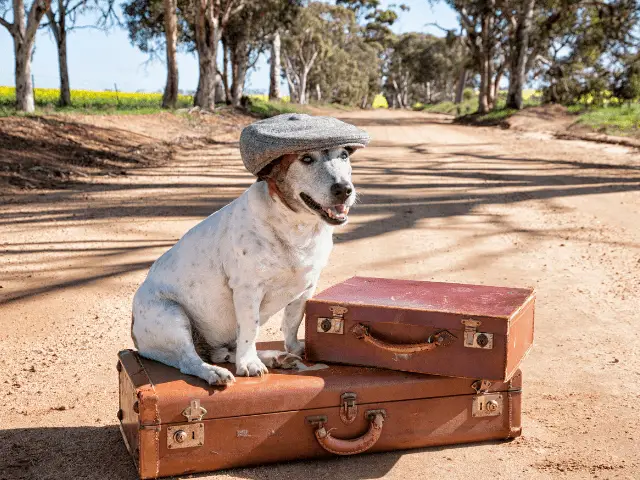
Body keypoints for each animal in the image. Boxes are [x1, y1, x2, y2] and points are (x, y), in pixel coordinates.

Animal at [130, 148, 356, 384]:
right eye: (306, 159)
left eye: (344, 155)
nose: (344, 189)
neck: (297, 227)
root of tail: (137, 340)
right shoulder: (248, 291)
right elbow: (250, 329)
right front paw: (249, 363)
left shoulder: (307, 287)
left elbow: (292, 322)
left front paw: (293, 348)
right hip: (172, 316)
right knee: (190, 361)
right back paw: (215, 372)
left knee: (224, 351)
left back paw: (271, 357)